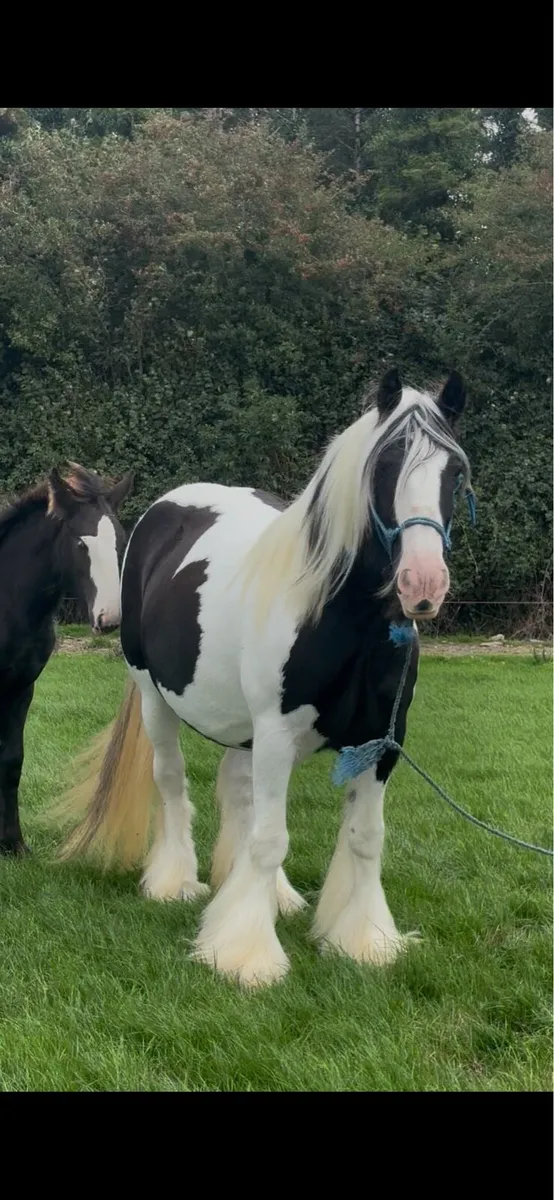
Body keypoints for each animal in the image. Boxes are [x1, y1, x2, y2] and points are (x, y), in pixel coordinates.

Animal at [0, 462, 133, 855]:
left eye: (120, 540)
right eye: (80, 543)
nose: (110, 619)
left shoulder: (21, 689)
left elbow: (11, 761)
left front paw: (13, 845)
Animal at [55, 369, 472, 987]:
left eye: (455, 472)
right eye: (385, 466)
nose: (422, 583)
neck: (339, 620)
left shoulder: (382, 744)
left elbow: (365, 839)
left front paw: (363, 940)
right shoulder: (276, 733)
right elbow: (272, 837)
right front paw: (247, 955)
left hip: (246, 731)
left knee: (239, 791)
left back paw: (265, 894)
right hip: (158, 700)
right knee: (172, 780)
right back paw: (175, 882)